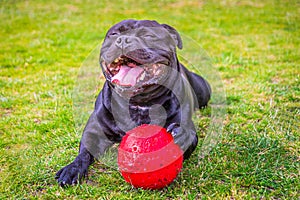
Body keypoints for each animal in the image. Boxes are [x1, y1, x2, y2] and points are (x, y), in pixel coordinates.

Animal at [56, 19, 211, 187]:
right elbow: (84, 153)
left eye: (149, 35)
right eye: (114, 34)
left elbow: (190, 137)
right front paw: (72, 169)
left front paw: (180, 134)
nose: (123, 40)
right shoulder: (94, 131)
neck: (139, 102)